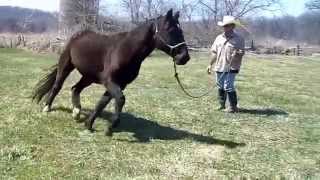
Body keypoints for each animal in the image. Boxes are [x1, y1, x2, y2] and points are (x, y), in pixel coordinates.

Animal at [32, 8, 190, 135]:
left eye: (181, 31)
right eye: (171, 30)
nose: (184, 57)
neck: (125, 50)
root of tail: (77, 35)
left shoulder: (120, 83)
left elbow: (102, 103)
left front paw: (89, 125)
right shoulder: (110, 81)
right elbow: (120, 99)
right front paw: (110, 127)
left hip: (88, 77)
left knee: (75, 88)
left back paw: (76, 113)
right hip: (66, 66)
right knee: (57, 85)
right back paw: (47, 107)